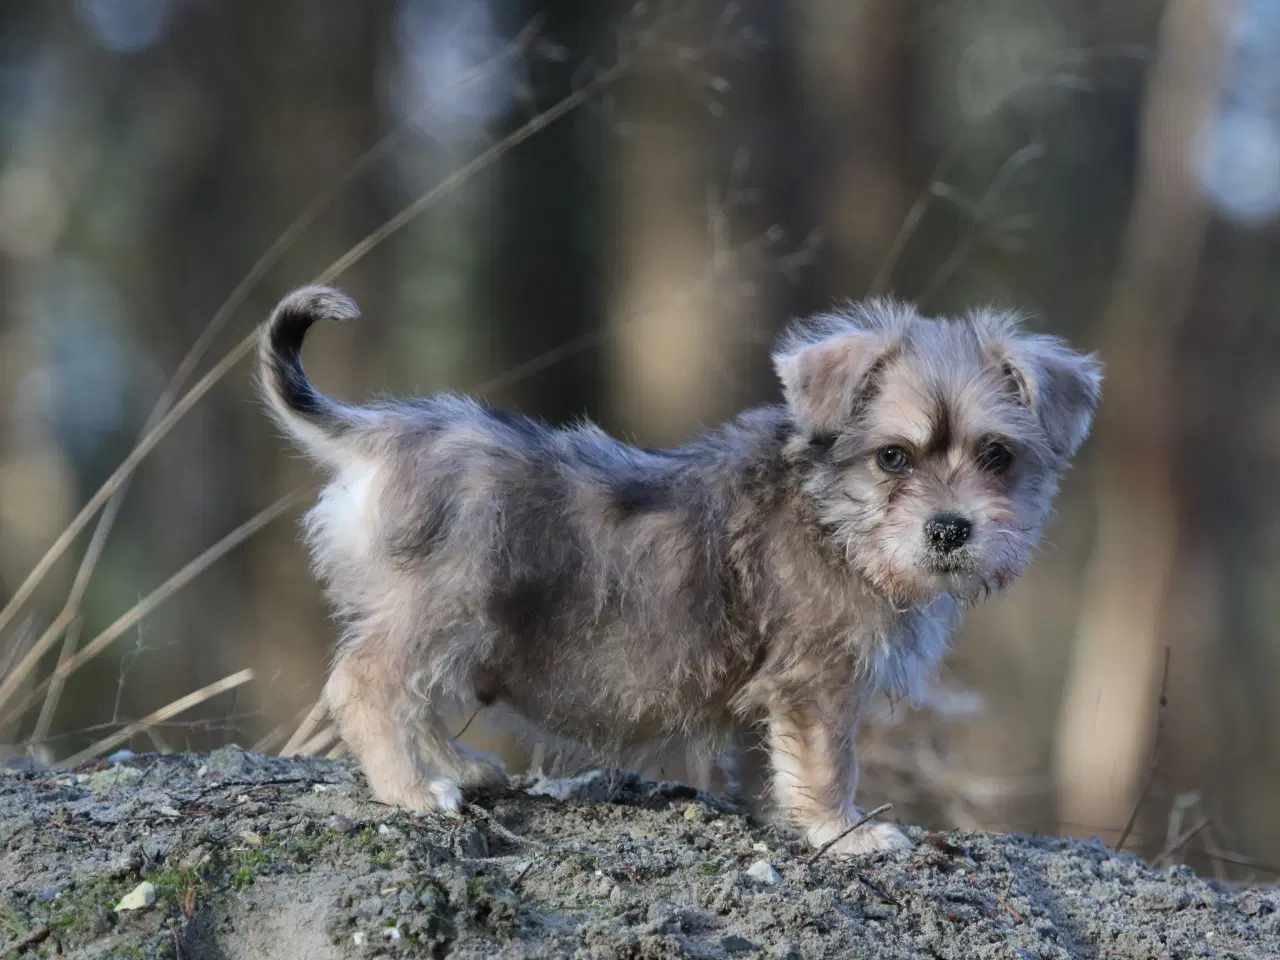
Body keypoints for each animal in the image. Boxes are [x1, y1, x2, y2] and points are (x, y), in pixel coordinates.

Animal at [257, 288, 1100, 855]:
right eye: (893, 456)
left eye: (997, 455)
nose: (950, 529)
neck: (833, 516)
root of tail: (377, 433)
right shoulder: (818, 683)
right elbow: (830, 763)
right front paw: (845, 832)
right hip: (445, 607)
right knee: (366, 684)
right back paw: (410, 789)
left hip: (454, 625)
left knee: (420, 701)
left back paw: (459, 768)